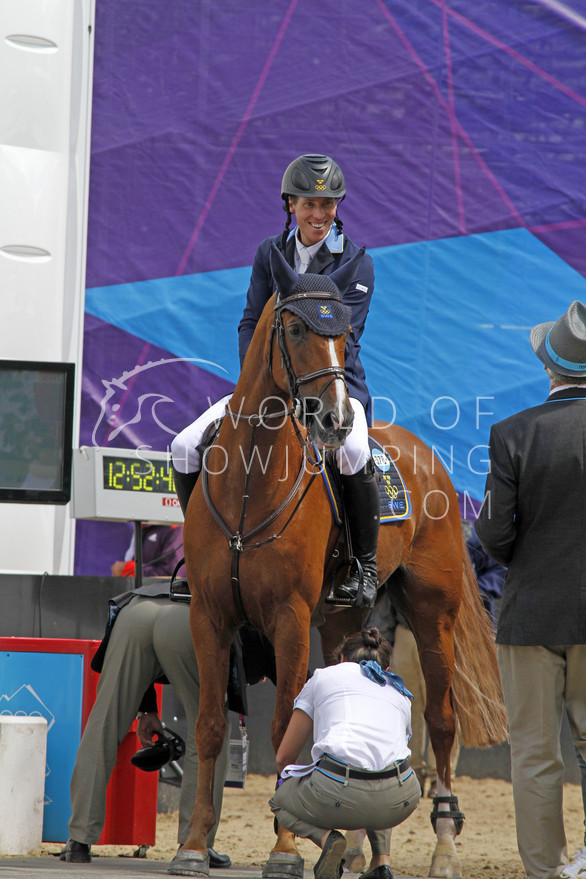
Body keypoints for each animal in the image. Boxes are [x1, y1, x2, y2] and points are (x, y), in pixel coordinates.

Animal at [175, 246, 506, 879]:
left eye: (345, 333)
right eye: (297, 329)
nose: (333, 419)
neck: (250, 479)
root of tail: (425, 454)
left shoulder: (287, 618)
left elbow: (284, 725)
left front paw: (283, 850)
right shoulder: (208, 617)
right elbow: (208, 726)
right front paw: (195, 845)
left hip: (434, 617)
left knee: (441, 722)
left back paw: (444, 847)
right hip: (340, 620)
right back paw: (352, 846)